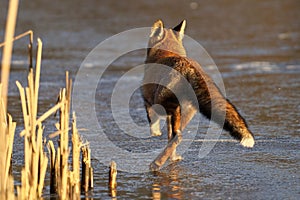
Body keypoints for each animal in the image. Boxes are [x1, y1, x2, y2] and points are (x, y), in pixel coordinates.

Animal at [142, 19, 254, 170]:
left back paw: (156, 164)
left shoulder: (148, 98)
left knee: (177, 136)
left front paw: (155, 132)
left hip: (164, 103)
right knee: (176, 137)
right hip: (188, 111)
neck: (165, 51)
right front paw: (172, 157)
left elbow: (152, 119)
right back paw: (167, 159)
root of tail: (189, 67)